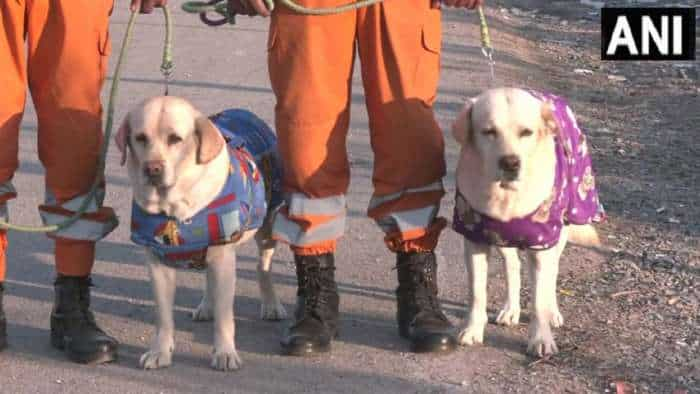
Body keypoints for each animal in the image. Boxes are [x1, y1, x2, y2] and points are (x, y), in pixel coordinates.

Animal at [116, 95, 286, 370]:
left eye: (175, 138)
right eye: (140, 137)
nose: (152, 169)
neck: (175, 210)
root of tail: (242, 111)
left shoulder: (224, 257)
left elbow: (225, 318)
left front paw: (225, 353)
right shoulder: (157, 263)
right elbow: (163, 317)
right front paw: (160, 351)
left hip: (267, 225)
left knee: (263, 267)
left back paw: (271, 305)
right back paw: (206, 306)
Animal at [452, 87, 604, 358]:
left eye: (526, 132)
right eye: (488, 131)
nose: (510, 163)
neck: (506, 195)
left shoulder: (542, 244)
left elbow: (539, 299)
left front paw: (541, 338)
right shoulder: (475, 239)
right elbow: (477, 292)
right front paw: (472, 329)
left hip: (560, 232)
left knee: (552, 272)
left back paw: (553, 312)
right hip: (502, 236)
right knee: (512, 265)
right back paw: (511, 308)